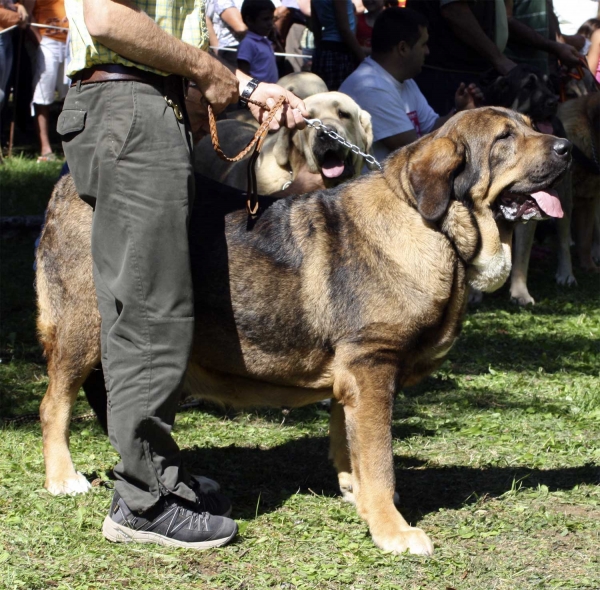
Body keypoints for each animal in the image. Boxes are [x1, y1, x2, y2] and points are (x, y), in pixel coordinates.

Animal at [35, 106, 568, 556]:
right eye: (504, 138)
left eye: (528, 125)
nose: (567, 147)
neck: (431, 227)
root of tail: (66, 184)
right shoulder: (372, 367)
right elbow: (381, 461)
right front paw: (393, 531)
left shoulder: (352, 377)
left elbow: (351, 447)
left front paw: (358, 498)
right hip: (84, 329)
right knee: (54, 404)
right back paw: (63, 478)